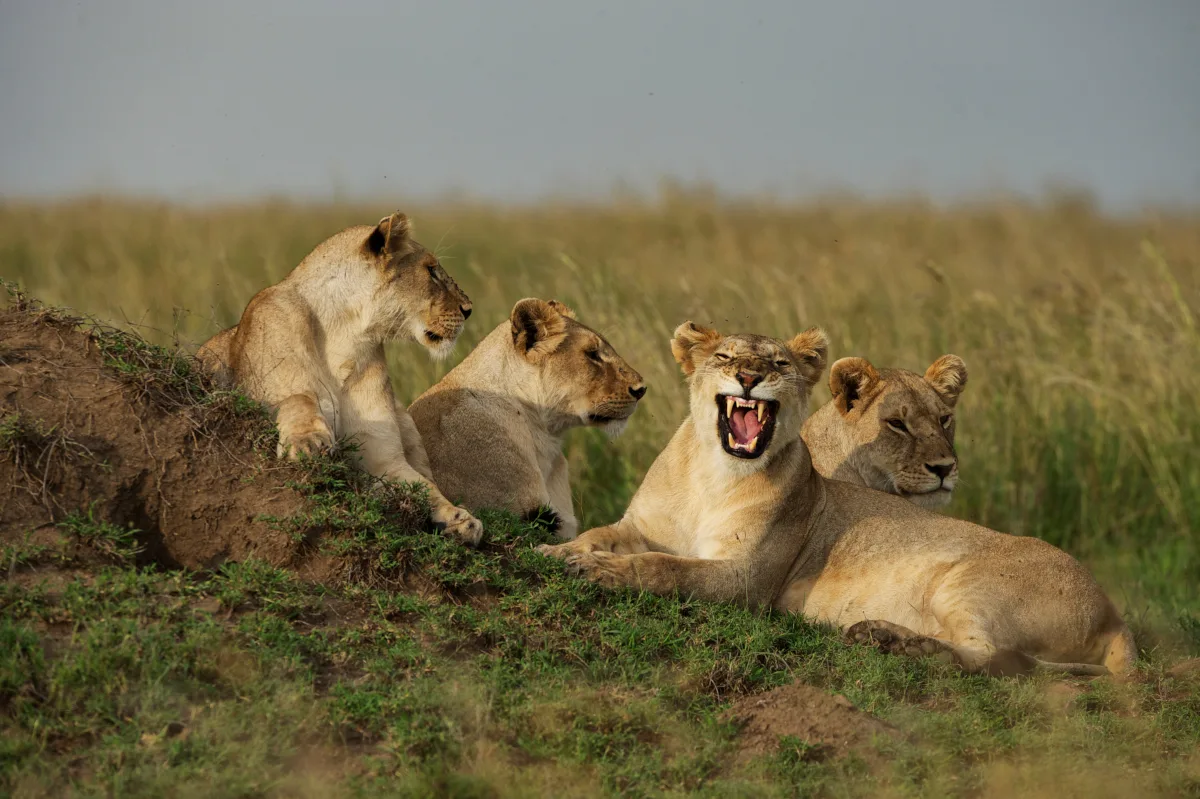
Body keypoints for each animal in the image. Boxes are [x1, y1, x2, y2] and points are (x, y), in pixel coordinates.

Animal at [197, 212, 483, 546]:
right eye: (431, 271)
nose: (469, 310)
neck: (347, 335)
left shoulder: (385, 459)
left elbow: (426, 488)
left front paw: (459, 519)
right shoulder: (255, 392)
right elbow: (299, 397)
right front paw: (307, 441)